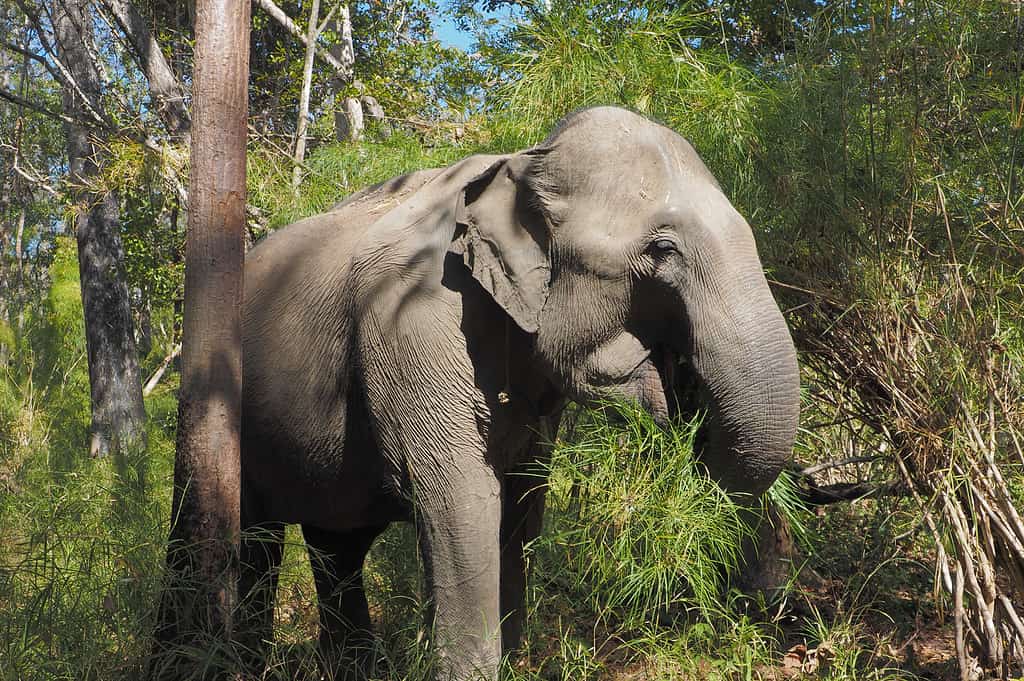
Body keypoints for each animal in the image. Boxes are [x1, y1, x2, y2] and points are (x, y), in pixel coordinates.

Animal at [237, 106, 798, 679]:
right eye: (662, 250)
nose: (688, 389)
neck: (524, 160)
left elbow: (523, 503)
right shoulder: (411, 320)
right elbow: (459, 502)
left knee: (337, 546)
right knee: (251, 540)